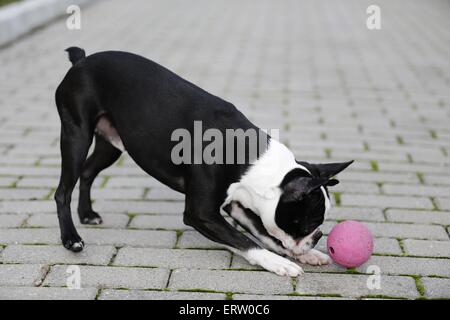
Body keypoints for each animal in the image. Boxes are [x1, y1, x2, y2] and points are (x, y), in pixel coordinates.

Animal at [55, 47, 352, 276]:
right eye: (309, 223)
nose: (318, 236)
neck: (249, 156)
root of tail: (81, 60)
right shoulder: (201, 214)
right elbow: (246, 241)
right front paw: (280, 263)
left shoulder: (237, 205)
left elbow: (264, 234)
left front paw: (305, 256)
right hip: (76, 135)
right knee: (63, 191)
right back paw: (72, 239)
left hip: (111, 144)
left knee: (88, 172)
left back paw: (87, 213)